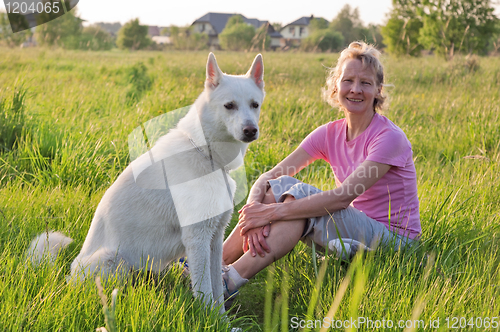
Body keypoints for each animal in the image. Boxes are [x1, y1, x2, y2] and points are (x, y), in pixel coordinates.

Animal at [29, 53, 266, 312]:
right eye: (229, 105)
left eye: (255, 105)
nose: (250, 130)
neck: (207, 155)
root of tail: (68, 277)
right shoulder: (198, 238)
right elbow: (205, 291)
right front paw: (207, 317)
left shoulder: (215, 238)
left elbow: (216, 292)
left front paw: (220, 318)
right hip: (114, 260)